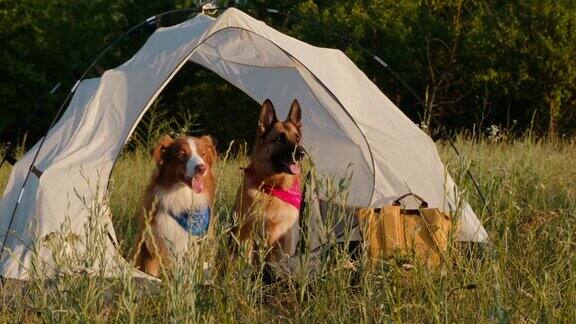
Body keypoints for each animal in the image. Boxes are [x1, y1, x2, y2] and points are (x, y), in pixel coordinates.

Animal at [234, 98, 306, 264]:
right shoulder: (247, 234)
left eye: (297, 138)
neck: (273, 186)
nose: (302, 153)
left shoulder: (285, 240)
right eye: (280, 139)